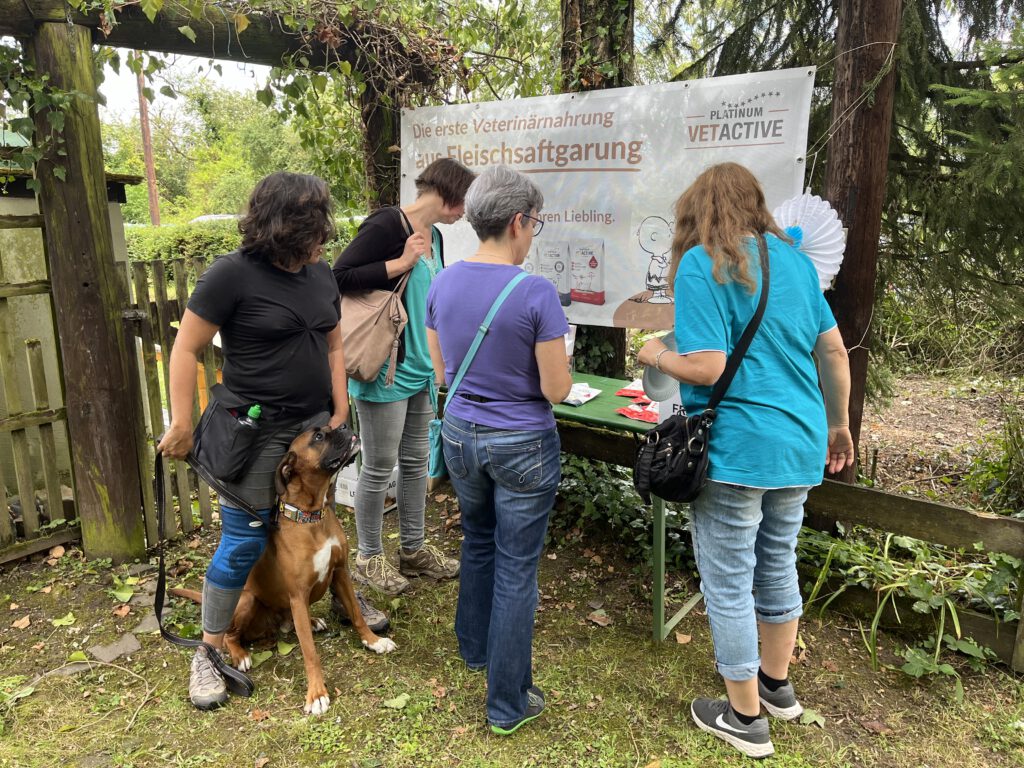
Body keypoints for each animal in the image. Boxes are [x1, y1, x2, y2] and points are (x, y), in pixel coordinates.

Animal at [169, 423, 393, 712]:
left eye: (331, 427)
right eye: (318, 436)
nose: (344, 425)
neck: (311, 518)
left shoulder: (340, 573)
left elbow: (356, 613)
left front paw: (373, 641)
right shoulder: (297, 594)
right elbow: (310, 651)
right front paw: (316, 693)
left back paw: (312, 621)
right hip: (247, 599)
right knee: (229, 635)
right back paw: (239, 655)